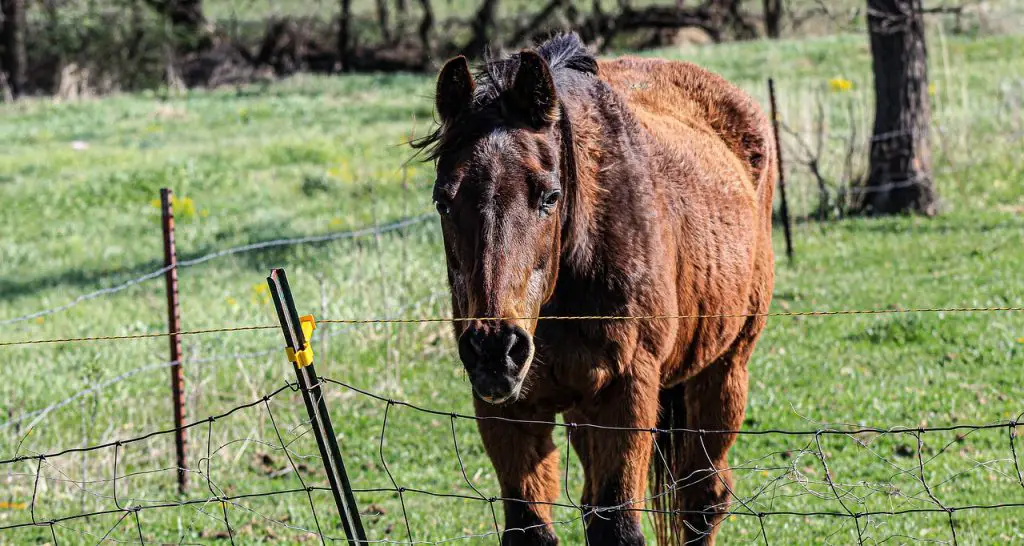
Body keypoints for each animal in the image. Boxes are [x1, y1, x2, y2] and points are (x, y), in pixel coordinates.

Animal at [411, 34, 770, 544]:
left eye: (550, 196)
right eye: (443, 200)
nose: (496, 349)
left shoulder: (627, 393)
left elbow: (617, 525)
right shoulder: (510, 410)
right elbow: (533, 527)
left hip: (724, 370)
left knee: (703, 498)